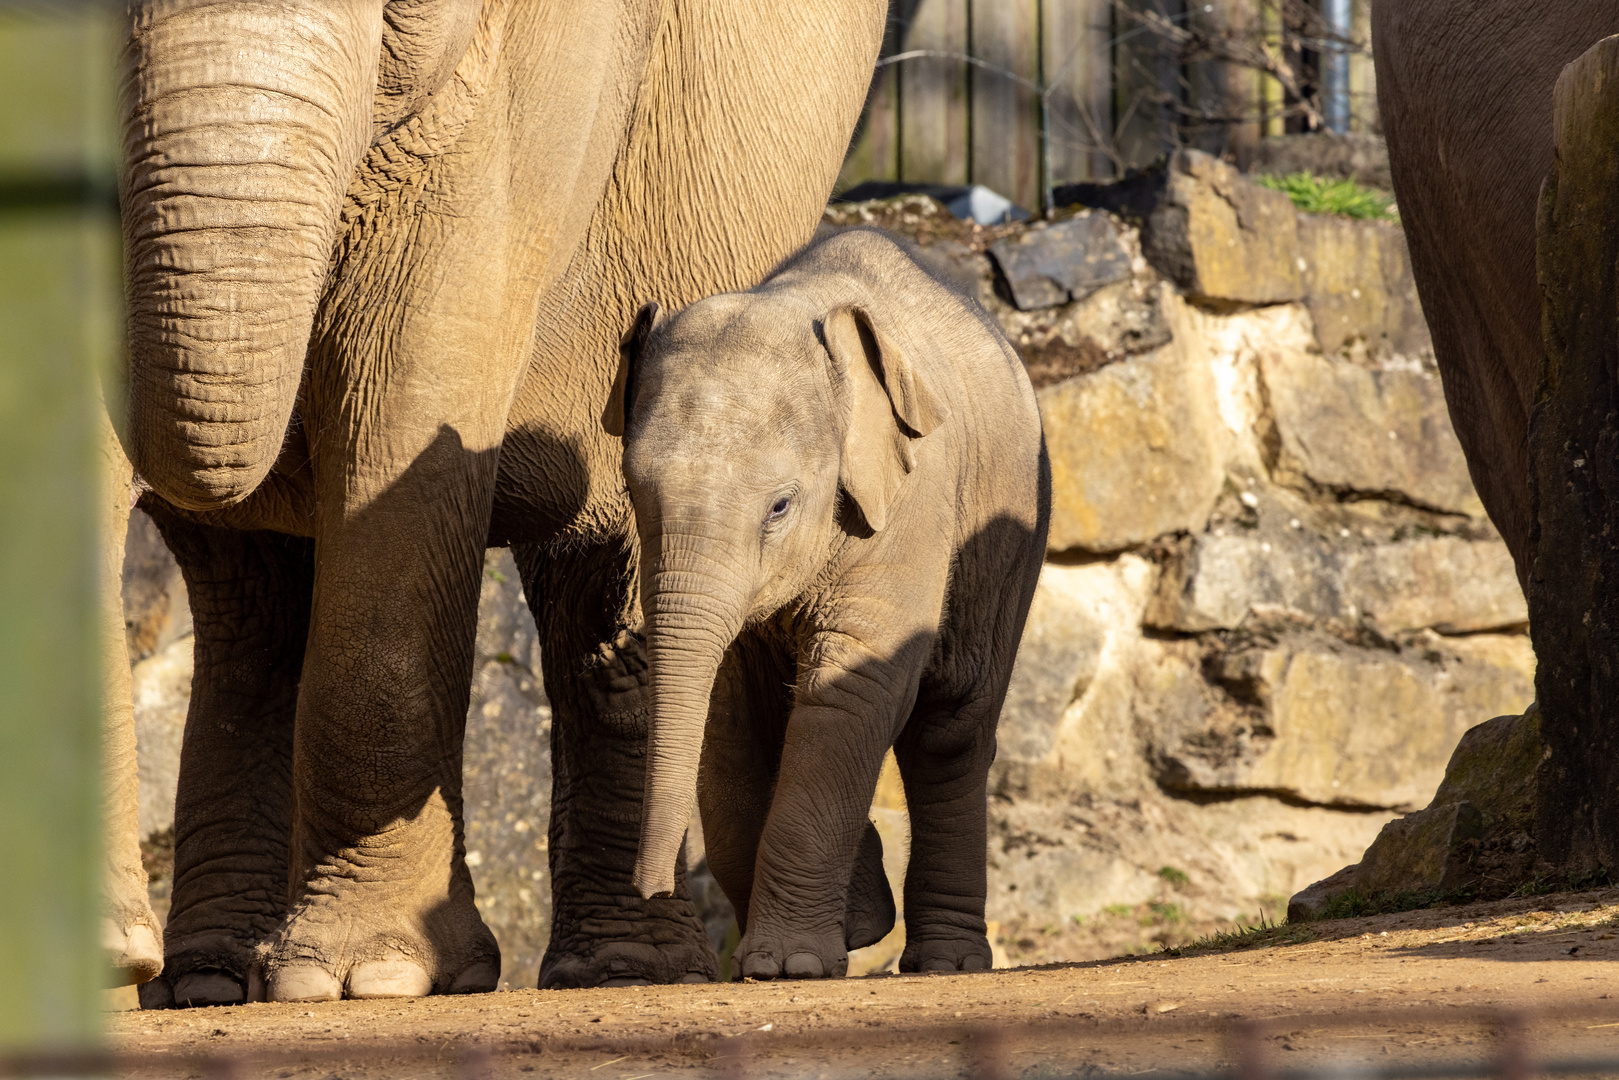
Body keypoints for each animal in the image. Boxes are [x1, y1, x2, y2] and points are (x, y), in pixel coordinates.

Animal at [107, 0, 887, 1003]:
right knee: (252, 595)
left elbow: (416, 368)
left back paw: (621, 973)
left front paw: (373, 977)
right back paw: (206, 982)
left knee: (600, 580)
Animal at [608, 223, 1049, 977]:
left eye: (780, 506)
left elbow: (852, 687)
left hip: (1013, 527)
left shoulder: (912, 501)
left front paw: (789, 965)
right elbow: (730, 708)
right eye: (636, 492)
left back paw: (946, 962)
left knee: (952, 725)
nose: (651, 887)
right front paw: (853, 927)